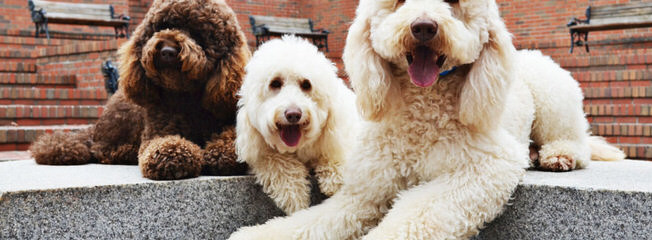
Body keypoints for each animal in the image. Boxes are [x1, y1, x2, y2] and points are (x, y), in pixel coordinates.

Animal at [29, 0, 251, 180]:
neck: (187, 99)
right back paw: (126, 152)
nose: (167, 51)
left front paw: (224, 152)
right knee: (101, 150)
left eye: (197, 33)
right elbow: (165, 144)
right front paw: (173, 155)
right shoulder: (157, 130)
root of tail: (96, 128)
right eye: (162, 26)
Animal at [234, 35, 356, 214]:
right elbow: (277, 161)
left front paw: (335, 178)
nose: (293, 114)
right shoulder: (261, 150)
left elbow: (336, 153)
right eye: (275, 83)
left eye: (306, 84)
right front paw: (294, 194)